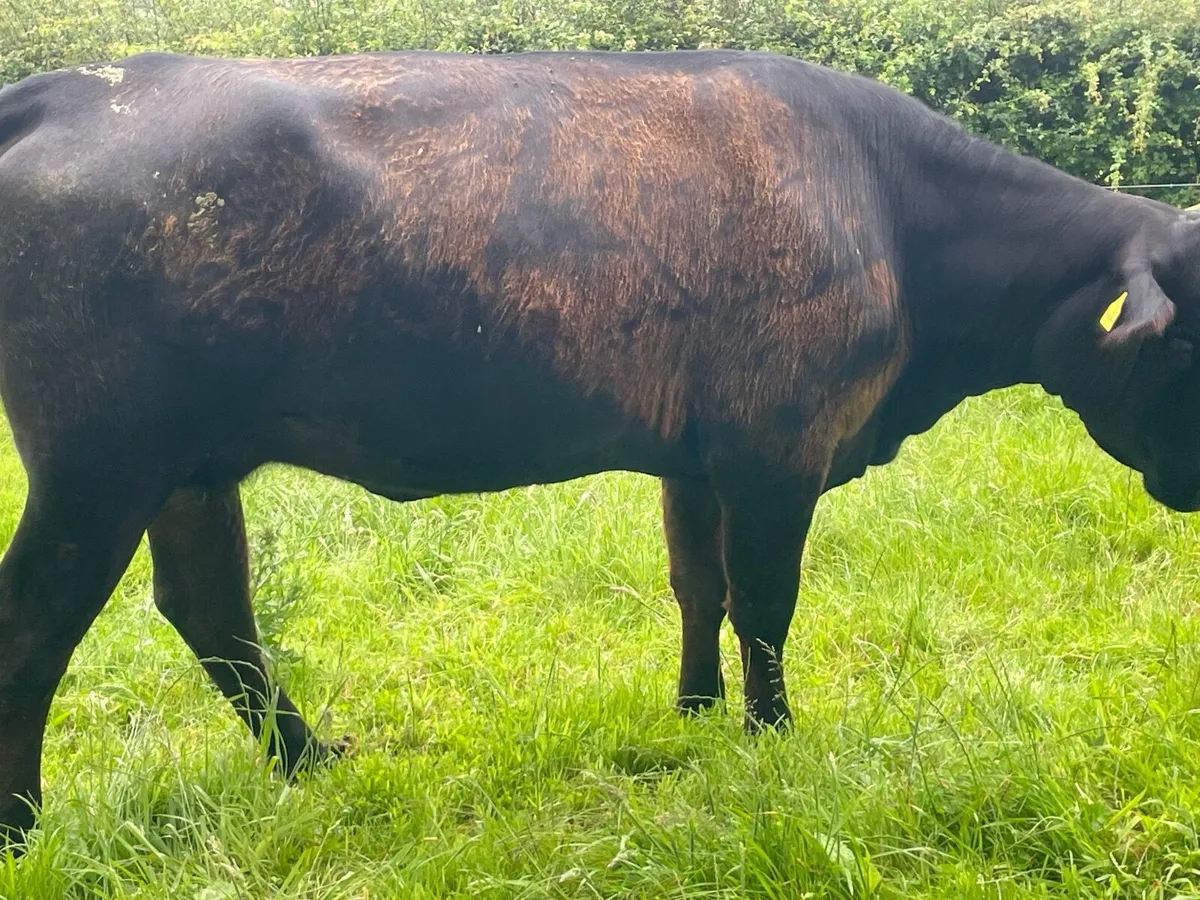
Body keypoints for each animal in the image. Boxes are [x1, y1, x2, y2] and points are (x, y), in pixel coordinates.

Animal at [0, 48, 1198, 847]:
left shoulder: (696, 455)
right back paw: (24, 828)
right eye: (1187, 340)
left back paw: (310, 761)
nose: (1191, 487)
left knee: (211, 612)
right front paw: (772, 734)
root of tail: (74, 86)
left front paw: (697, 713)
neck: (890, 205)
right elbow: (766, 603)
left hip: (185, 469)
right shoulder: (777, 447)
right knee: (36, 630)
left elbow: (698, 585)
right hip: (98, 466)